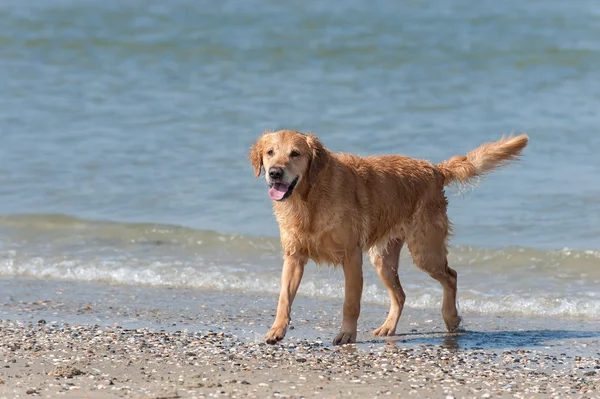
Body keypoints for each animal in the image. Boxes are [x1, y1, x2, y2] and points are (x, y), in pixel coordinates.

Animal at [251, 130, 528, 346]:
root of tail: (434, 169)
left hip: (425, 251)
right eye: (270, 152)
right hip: (383, 259)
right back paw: (389, 327)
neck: (309, 199)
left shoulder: (351, 256)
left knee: (451, 276)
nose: (274, 173)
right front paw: (276, 330)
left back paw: (450, 318)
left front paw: (346, 335)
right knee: (401, 295)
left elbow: (350, 302)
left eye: (295, 153)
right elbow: (284, 298)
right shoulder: (294, 256)